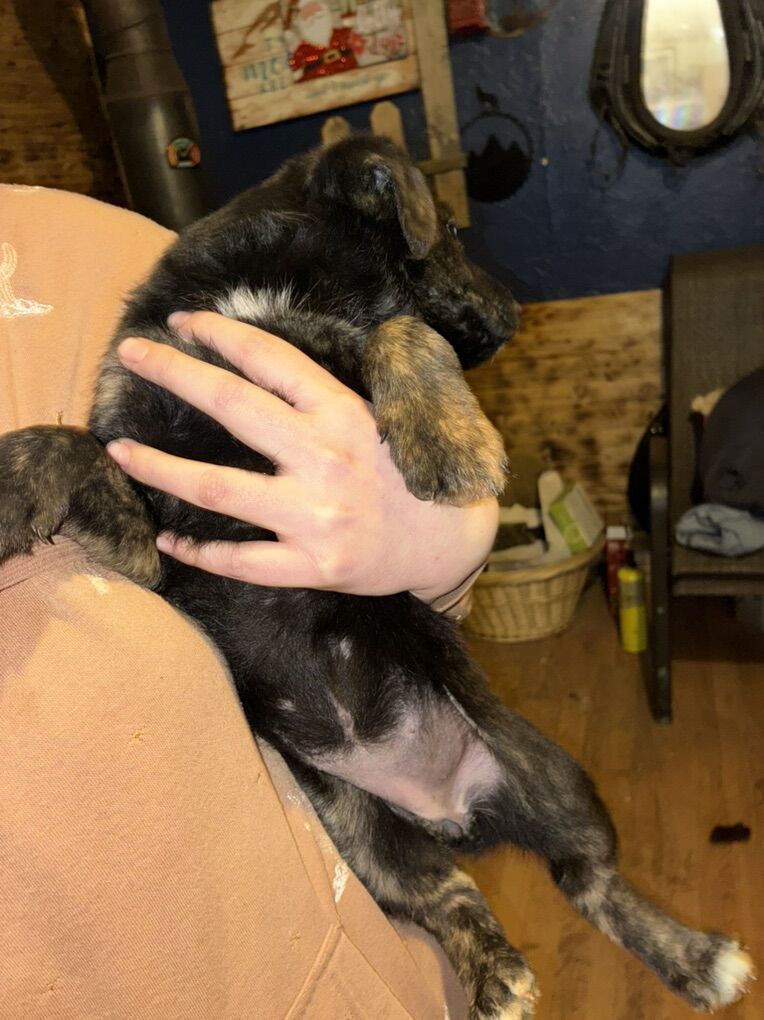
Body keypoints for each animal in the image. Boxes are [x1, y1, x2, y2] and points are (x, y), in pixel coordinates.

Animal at [0, 135, 753, 1019]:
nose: (518, 312)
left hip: (557, 780)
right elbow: (71, 445)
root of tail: (450, 812)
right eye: (452, 229)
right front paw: (14, 484)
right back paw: (494, 970)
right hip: (365, 836)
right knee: (451, 895)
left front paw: (446, 438)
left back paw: (697, 959)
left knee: (591, 880)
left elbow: (399, 328)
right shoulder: (151, 547)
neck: (254, 289)